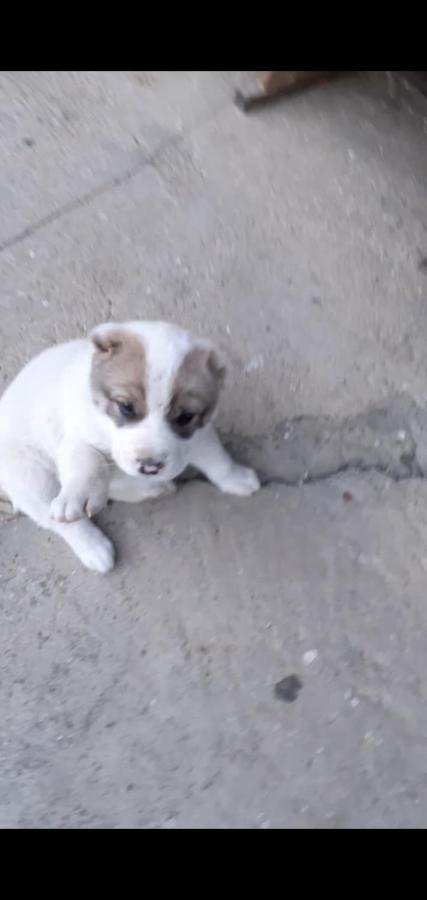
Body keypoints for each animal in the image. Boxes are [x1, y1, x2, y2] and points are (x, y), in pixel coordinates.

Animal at [0, 322, 260, 568]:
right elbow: (87, 464)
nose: (150, 466)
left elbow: (217, 459)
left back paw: (153, 488)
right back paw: (94, 547)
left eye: (186, 416)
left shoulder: (198, 435)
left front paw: (236, 478)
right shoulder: (77, 438)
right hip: (28, 474)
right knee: (59, 519)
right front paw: (79, 493)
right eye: (125, 406)